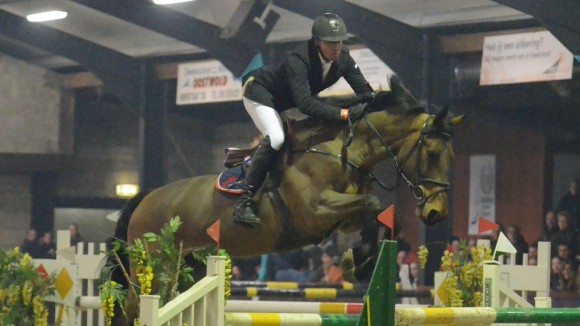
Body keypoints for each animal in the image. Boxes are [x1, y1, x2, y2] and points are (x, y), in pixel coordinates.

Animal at [112, 76, 462, 324]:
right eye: (432, 153)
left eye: (452, 156)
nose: (436, 212)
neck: (342, 150)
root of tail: (145, 198)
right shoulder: (315, 212)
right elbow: (373, 206)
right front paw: (356, 262)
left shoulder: (344, 216)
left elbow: (380, 216)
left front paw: (358, 261)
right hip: (153, 265)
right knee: (135, 304)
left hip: (190, 267)